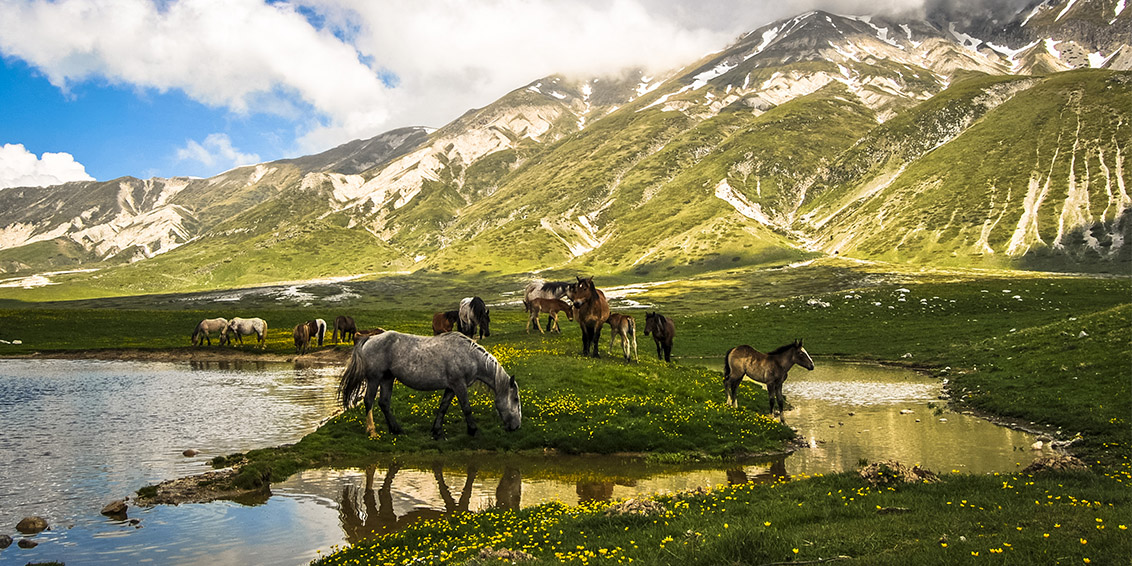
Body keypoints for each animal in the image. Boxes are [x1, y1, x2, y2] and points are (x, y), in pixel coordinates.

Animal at [337, 330, 522, 439]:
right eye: (515, 399)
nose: (516, 427)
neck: (469, 355)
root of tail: (369, 338)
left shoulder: (451, 387)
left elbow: (443, 407)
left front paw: (437, 431)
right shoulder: (459, 385)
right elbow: (466, 407)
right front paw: (472, 430)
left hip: (387, 379)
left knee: (384, 403)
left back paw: (396, 430)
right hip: (375, 379)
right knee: (369, 401)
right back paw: (372, 432)